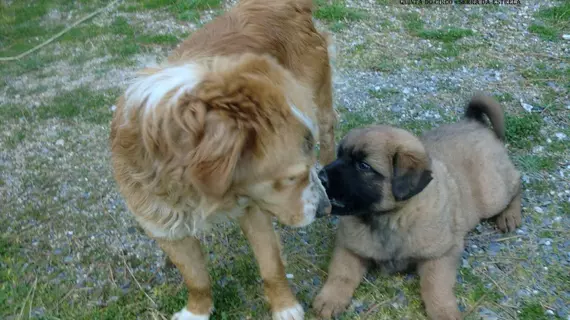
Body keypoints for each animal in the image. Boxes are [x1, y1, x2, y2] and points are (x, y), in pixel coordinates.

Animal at [108, 1, 336, 318]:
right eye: (291, 177)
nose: (325, 209)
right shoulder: (163, 226)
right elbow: (196, 279)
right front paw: (197, 311)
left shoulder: (253, 207)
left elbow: (271, 267)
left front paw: (285, 307)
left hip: (320, 107)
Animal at [310, 94, 520, 320]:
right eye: (339, 155)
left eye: (363, 166)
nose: (321, 177)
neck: (390, 218)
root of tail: (473, 122)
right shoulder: (348, 247)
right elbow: (342, 274)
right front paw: (330, 299)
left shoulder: (442, 253)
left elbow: (435, 285)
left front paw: (443, 311)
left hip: (492, 194)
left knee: (517, 183)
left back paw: (510, 215)